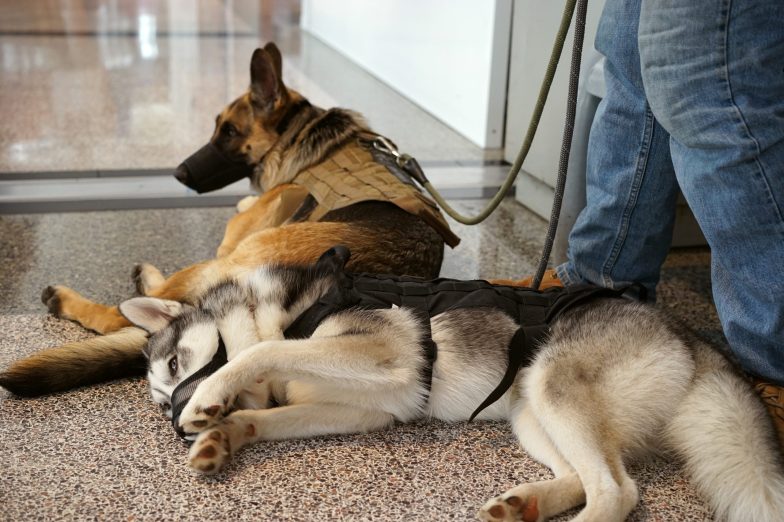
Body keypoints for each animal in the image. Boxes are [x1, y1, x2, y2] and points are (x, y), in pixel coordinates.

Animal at [0, 42, 456, 396]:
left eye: (230, 132)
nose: (178, 173)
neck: (299, 135)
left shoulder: (234, 239)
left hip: (226, 259)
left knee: (129, 311)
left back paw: (72, 297)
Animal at [118, 246, 784, 516]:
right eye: (158, 402)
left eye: (174, 366)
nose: (177, 423)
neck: (288, 306)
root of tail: (694, 339)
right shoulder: (362, 409)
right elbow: (263, 414)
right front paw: (222, 435)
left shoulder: (382, 351)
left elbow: (264, 350)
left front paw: (213, 399)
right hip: (531, 411)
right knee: (585, 477)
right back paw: (525, 505)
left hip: (554, 386)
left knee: (617, 492)